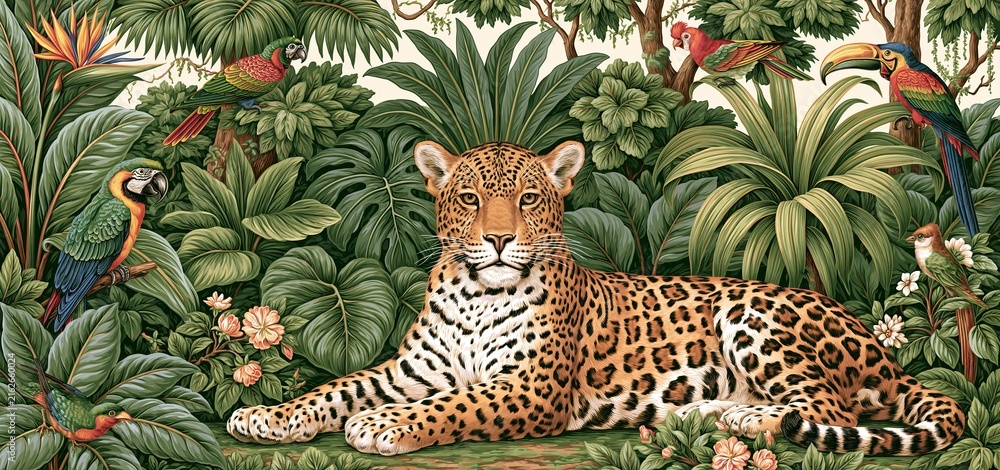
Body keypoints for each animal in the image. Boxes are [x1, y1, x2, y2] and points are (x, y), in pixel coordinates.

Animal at [227, 140, 964, 457]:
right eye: (470, 198)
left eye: (529, 198)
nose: (499, 239)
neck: (475, 294)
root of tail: (881, 349)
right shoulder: (412, 370)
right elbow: (337, 387)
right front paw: (266, 416)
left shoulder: (529, 387)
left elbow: (453, 405)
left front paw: (386, 426)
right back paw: (704, 415)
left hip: (755, 316)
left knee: (824, 408)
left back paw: (742, 420)